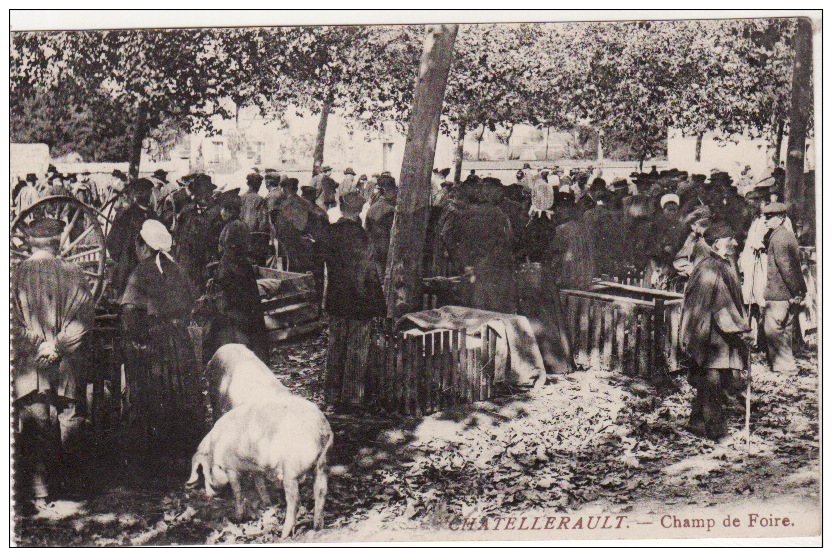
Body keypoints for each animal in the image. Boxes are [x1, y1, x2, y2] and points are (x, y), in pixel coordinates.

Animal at [187, 396, 334, 536]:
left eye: (204, 471)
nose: (210, 494)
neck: (214, 448)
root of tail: (322, 429)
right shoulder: (257, 467)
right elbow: (260, 485)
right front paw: (267, 505)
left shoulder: (231, 468)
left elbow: (237, 491)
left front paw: (237, 518)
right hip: (323, 463)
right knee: (321, 491)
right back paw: (317, 528)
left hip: (291, 468)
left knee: (295, 500)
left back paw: (284, 534)